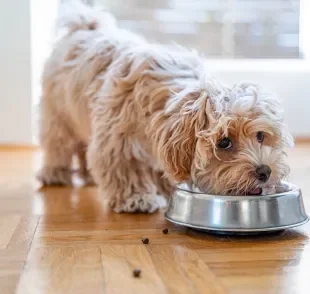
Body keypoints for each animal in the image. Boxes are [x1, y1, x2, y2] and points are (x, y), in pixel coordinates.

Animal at [36, 2, 294, 214]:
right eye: (224, 143)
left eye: (260, 136)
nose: (265, 171)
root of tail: (85, 27)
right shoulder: (117, 137)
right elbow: (123, 166)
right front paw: (137, 197)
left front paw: (166, 187)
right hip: (57, 111)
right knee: (58, 142)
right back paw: (55, 172)